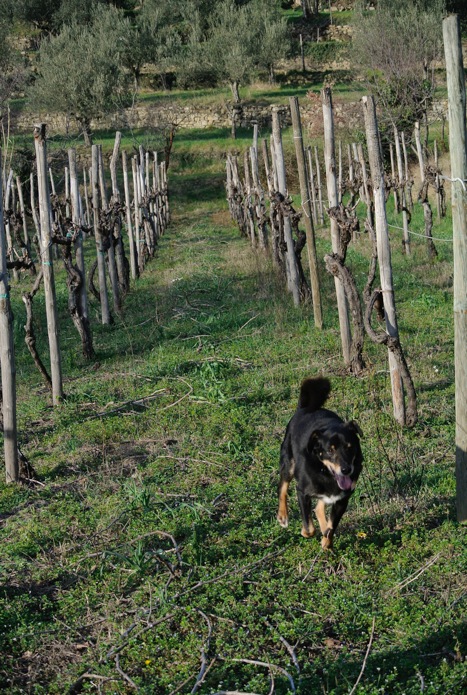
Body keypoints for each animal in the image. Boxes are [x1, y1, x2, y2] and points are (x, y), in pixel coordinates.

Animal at [276, 378, 364, 552]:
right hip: (288, 462)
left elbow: (331, 528)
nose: (346, 470)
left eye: (350, 447)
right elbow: (310, 529)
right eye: (330, 450)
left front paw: (326, 543)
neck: (325, 472)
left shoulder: (342, 500)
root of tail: (304, 408)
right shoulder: (302, 492)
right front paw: (306, 532)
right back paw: (283, 516)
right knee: (282, 486)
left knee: (319, 508)